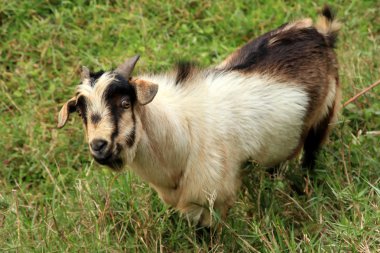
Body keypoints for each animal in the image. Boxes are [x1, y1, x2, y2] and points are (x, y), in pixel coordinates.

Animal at [57, 6, 342, 226]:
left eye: (126, 103)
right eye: (81, 114)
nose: (98, 145)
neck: (182, 130)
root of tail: (321, 34)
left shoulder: (213, 198)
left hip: (325, 114)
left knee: (311, 155)